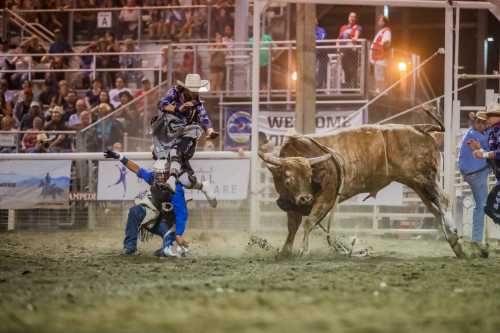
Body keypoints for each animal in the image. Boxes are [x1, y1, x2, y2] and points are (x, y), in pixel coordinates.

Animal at [258, 123, 468, 258]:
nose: (305, 198)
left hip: (424, 177)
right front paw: (285, 250)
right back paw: (455, 244)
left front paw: (304, 250)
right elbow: (292, 226)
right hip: (416, 183)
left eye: (310, 176)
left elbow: (309, 221)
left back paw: (454, 235)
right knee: (435, 208)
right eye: (288, 179)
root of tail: (421, 130)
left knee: (443, 200)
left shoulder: (327, 196)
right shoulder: (292, 204)